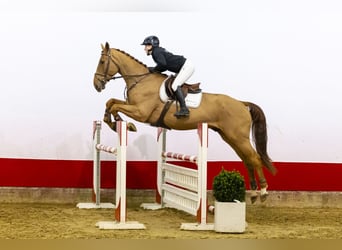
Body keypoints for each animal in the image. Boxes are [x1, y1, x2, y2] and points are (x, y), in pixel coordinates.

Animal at [94, 42, 278, 202]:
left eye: (102, 62)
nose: (96, 85)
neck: (141, 81)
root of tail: (241, 103)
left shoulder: (141, 112)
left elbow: (115, 105)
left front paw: (123, 123)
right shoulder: (133, 106)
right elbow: (111, 102)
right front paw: (113, 121)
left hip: (238, 137)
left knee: (254, 158)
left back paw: (263, 192)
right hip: (230, 137)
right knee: (247, 160)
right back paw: (253, 193)